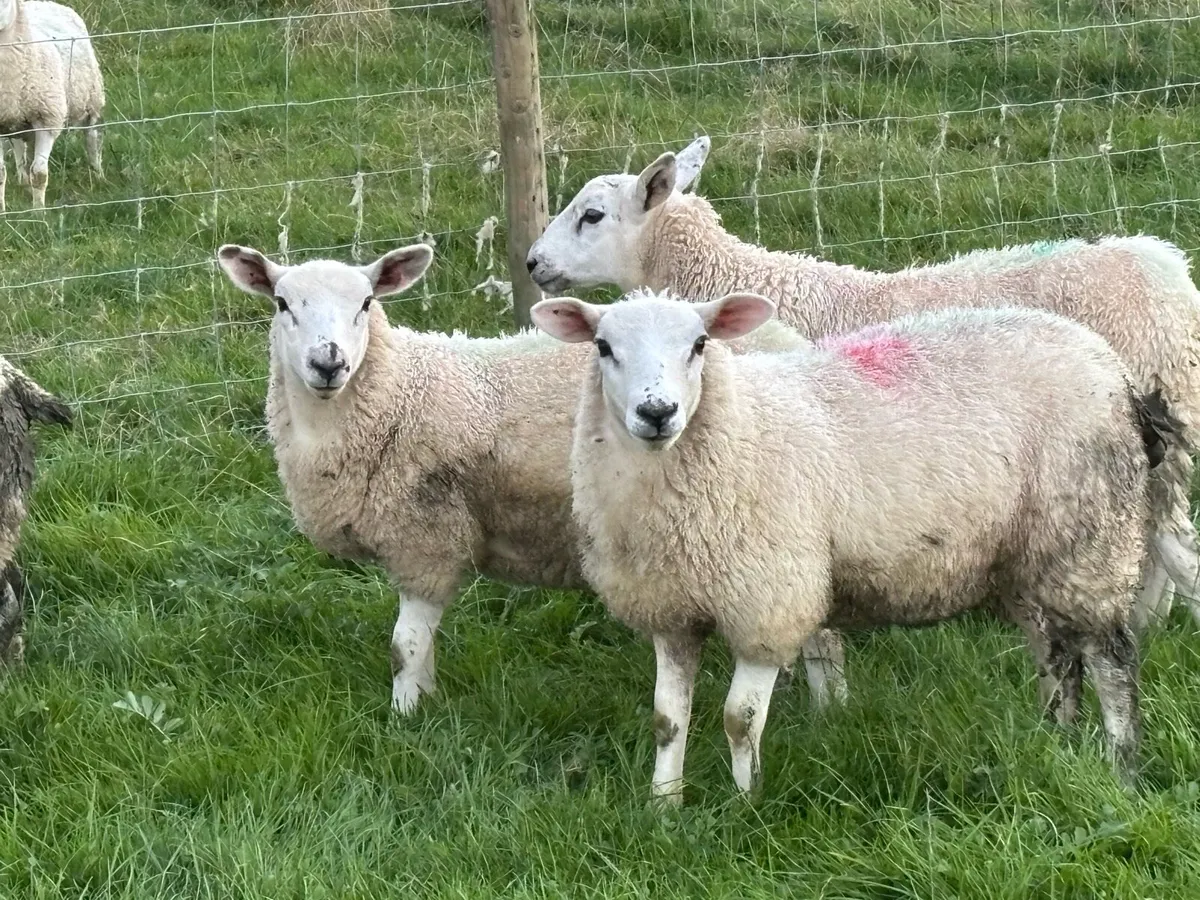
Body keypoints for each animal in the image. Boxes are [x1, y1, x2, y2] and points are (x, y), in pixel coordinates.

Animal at [0, 0, 105, 212]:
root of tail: (44, 3)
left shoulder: (47, 119)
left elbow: (40, 174)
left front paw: (38, 213)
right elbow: (0, 174)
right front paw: (3, 211)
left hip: (92, 99)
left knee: (92, 137)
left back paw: (98, 174)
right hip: (16, 119)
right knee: (19, 146)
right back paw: (23, 180)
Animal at [215, 242, 848, 715]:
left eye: (366, 302)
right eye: (281, 303)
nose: (329, 363)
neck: (396, 392)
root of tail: (790, 340)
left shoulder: (426, 539)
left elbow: (405, 648)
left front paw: (405, 719)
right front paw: (423, 706)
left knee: (818, 628)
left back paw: (829, 710)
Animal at [533, 289, 1168, 800]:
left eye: (700, 343)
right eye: (603, 347)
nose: (657, 412)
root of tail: (1111, 365)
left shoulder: (770, 601)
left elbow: (740, 719)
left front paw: (744, 805)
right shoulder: (670, 611)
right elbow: (667, 720)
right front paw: (663, 807)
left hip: (1090, 536)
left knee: (1111, 658)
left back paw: (1121, 766)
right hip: (1027, 558)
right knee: (1058, 652)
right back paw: (1057, 736)